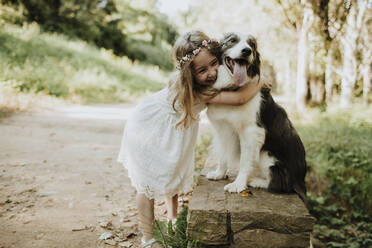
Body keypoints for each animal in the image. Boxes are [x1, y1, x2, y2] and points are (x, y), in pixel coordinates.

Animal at [206, 32, 308, 203]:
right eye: (232, 40)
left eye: (251, 45)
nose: (246, 51)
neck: (232, 89)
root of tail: (300, 180)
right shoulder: (222, 129)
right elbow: (223, 154)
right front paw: (219, 173)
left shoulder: (251, 132)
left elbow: (244, 161)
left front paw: (238, 184)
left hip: (267, 155)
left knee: (282, 185)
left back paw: (256, 181)